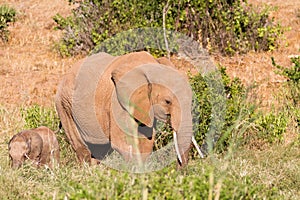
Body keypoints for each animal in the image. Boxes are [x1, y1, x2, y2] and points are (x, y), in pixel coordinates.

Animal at [55, 51, 193, 167]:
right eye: (167, 101)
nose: (180, 170)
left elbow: (146, 140)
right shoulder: (117, 101)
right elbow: (122, 143)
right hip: (64, 105)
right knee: (82, 148)